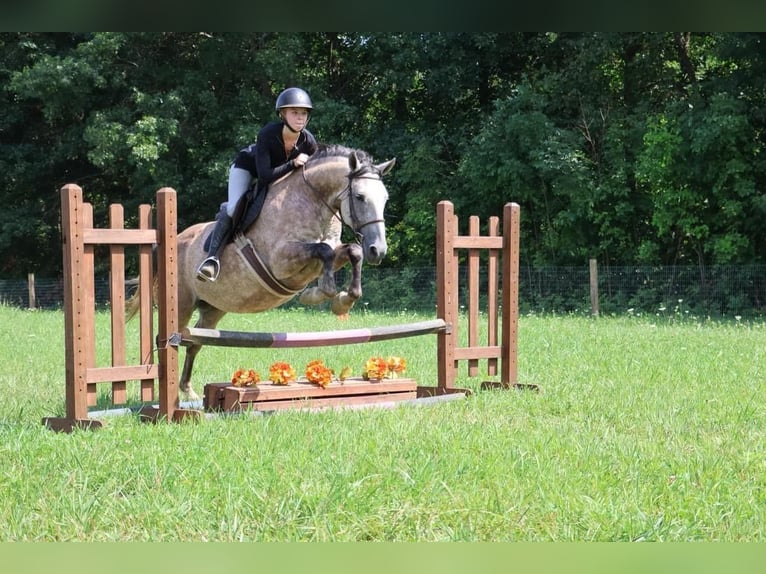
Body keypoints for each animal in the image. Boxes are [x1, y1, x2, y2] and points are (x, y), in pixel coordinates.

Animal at [130, 144, 396, 400]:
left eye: (385, 198)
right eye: (360, 197)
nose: (379, 250)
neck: (312, 201)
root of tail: (175, 239)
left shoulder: (323, 254)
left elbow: (351, 251)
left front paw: (342, 301)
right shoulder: (281, 261)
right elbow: (324, 251)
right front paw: (322, 294)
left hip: (214, 308)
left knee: (195, 342)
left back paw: (188, 390)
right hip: (182, 303)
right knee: (173, 338)